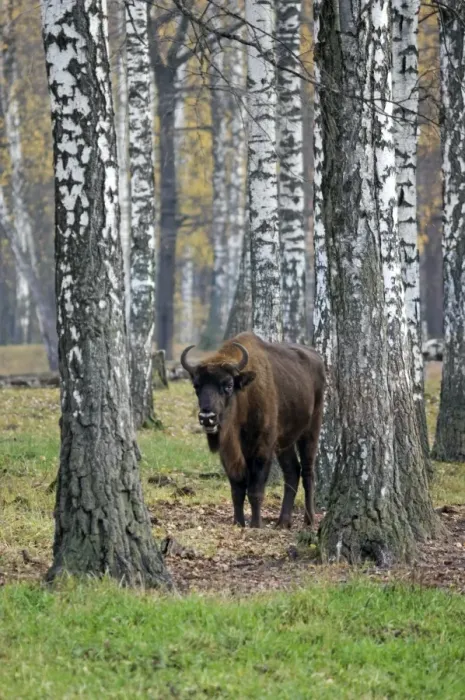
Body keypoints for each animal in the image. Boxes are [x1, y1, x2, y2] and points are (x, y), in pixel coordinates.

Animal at [181, 332, 325, 528]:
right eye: (197, 386)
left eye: (228, 385)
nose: (207, 417)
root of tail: (317, 358)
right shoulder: (229, 453)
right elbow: (237, 490)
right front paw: (238, 523)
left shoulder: (262, 449)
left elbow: (255, 490)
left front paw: (256, 524)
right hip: (284, 442)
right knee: (292, 472)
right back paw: (282, 522)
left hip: (310, 430)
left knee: (308, 472)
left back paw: (309, 520)